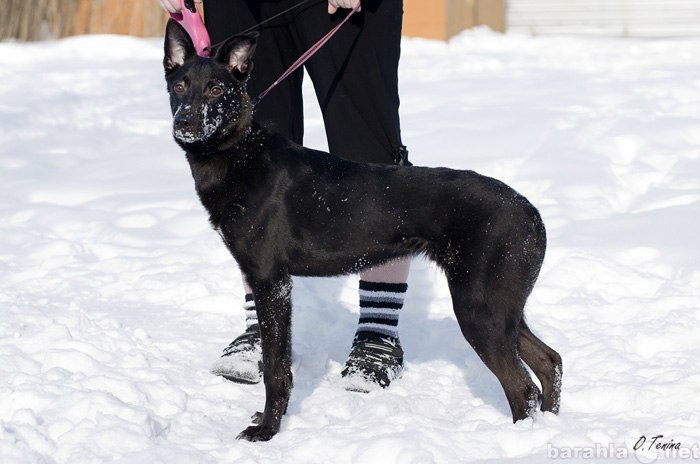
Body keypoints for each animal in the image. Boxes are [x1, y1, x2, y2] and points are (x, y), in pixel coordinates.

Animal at [164, 20, 564, 440]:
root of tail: (531, 212)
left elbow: (276, 368)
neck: (241, 152)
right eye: (180, 85)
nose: (185, 123)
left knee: (523, 388)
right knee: (549, 361)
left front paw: (268, 431)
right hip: (503, 306)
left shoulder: (272, 282)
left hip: (480, 310)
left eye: (216, 89)